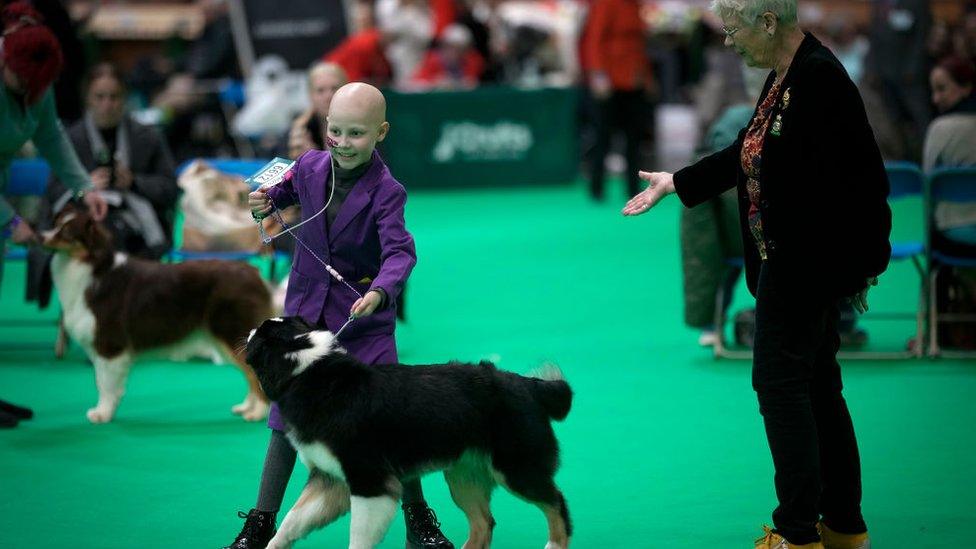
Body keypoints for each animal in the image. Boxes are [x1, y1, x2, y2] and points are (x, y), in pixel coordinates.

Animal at [41, 203, 270, 422]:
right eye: (56, 224)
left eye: (67, 232)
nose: (41, 236)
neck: (92, 268)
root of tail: (255, 274)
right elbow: (103, 382)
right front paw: (108, 412)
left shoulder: (110, 345)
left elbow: (105, 384)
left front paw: (101, 414)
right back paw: (246, 408)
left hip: (231, 331)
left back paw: (257, 413)